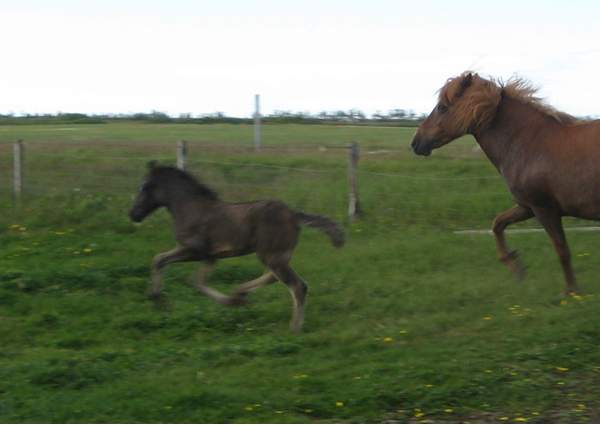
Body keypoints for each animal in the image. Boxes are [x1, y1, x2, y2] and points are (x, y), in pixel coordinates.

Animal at [129, 162, 344, 332]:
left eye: (144, 187)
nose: (133, 214)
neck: (189, 208)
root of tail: (294, 214)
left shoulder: (196, 251)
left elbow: (168, 264)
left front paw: (157, 296)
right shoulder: (208, 256)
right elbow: (186, 275)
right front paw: (156, 296)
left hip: (271, 255)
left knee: (297, 285)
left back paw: (294, 327)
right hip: (275, 255)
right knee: (273, 277)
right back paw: (240, 293)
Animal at [410, 71, 600, 294]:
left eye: (442, 107)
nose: (416, 142)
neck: (530, 142)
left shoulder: (544, 209)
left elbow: (562, 250)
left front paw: (571, 292)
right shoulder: (527, 207)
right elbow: (498, 224)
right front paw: (516, 265)